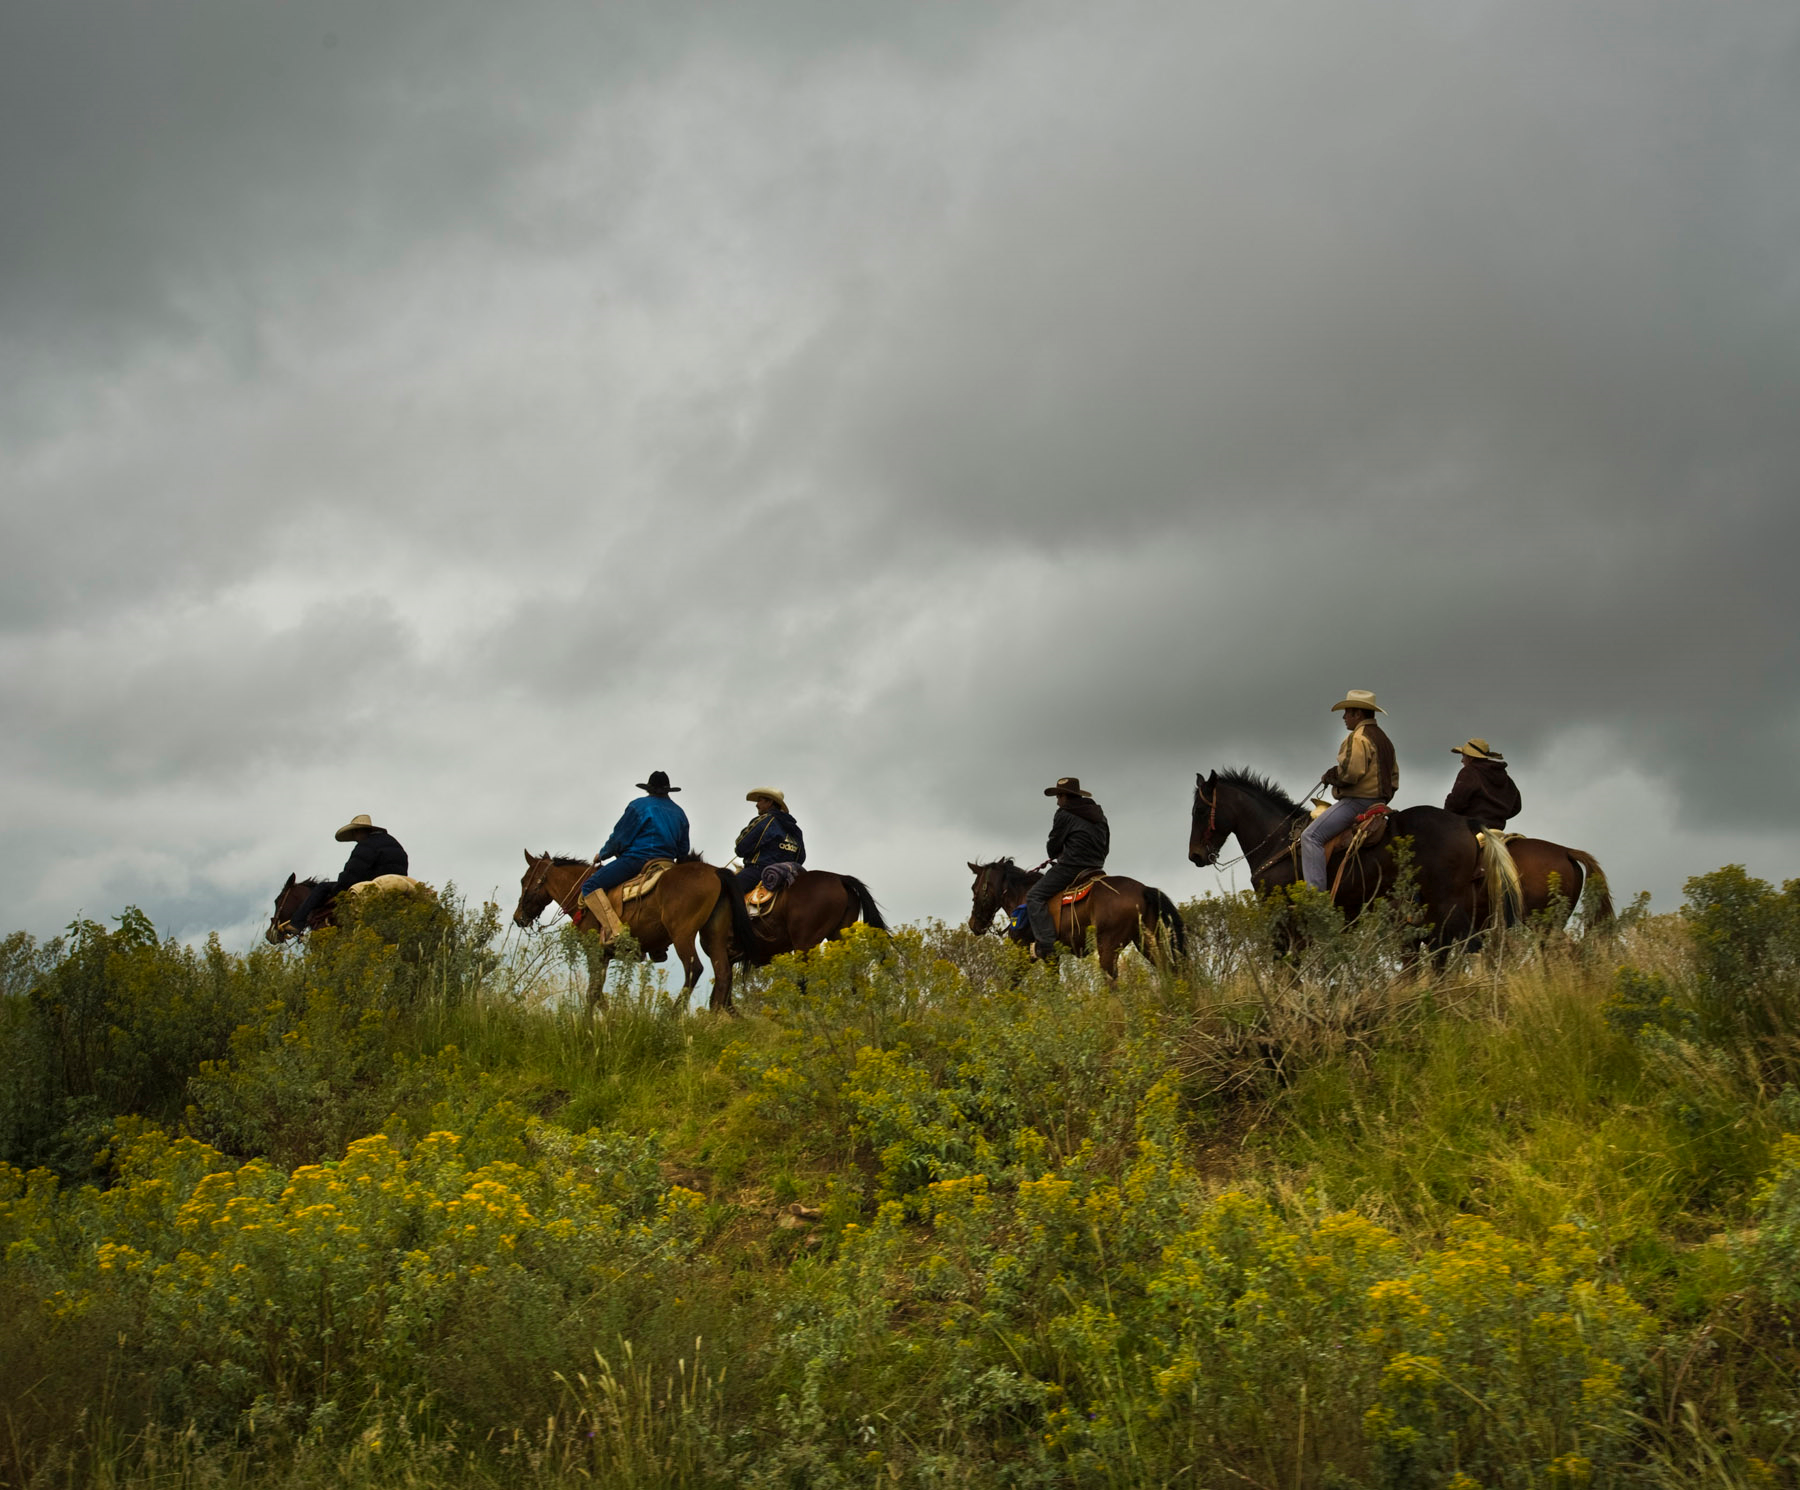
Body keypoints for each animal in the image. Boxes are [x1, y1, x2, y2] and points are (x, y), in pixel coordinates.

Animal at [511, 849, 748, 1014]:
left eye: (524, 880)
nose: (517, 917)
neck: (580, 895)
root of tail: (715, 871)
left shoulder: (595, 952)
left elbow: (593, 992)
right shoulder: (605, 956)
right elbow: (598, 993)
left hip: (683, 936)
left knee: (694, 969)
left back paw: (670, 1018)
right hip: (713, 937)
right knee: (723, 974)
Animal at [964, 860, 1188, 978]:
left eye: (975, 888)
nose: (973, 924)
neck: (1022, 896)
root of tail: (1143, 889)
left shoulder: (1030, 953)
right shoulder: (1051, 957)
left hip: (1108, 946)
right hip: (1145, 940)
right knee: (1167, 968)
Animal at [1180, 762, 1504, 957]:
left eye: (1199, 810)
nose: (1195, 855)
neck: (1279, 841)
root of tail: (1465, 823)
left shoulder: (1284, 918)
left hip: (1447, 903)